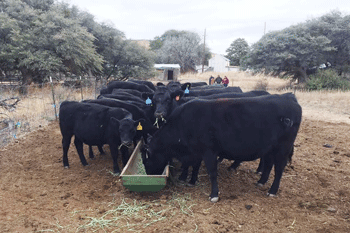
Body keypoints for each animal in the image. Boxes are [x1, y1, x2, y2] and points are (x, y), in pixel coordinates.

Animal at [142, 93, 300, 202]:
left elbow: (212, 173)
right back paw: (261, 182)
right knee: (268, 163)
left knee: (279, 169)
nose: (149, 176)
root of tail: (288, 97)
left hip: (283, 148)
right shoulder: (197, 151)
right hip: (269, 149)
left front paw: (214, 195)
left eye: (147, 158)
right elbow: (195, 166)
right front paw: (192, 181)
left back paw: (272, 190)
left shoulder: (209, 151)